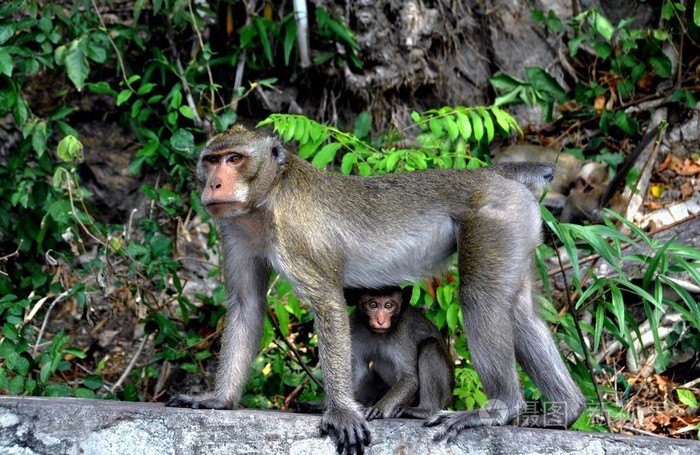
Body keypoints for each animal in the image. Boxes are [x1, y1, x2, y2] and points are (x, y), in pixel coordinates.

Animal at [294, 286, 454, 422]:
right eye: (373, 305)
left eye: (388, 305)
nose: (381, 321)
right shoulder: (354, 328)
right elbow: (356, 374)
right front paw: (324, 405)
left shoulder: (403, 332)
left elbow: (409, 378)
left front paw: (378, 408)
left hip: (445, 394)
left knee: (430, 345)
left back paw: (425, 411)